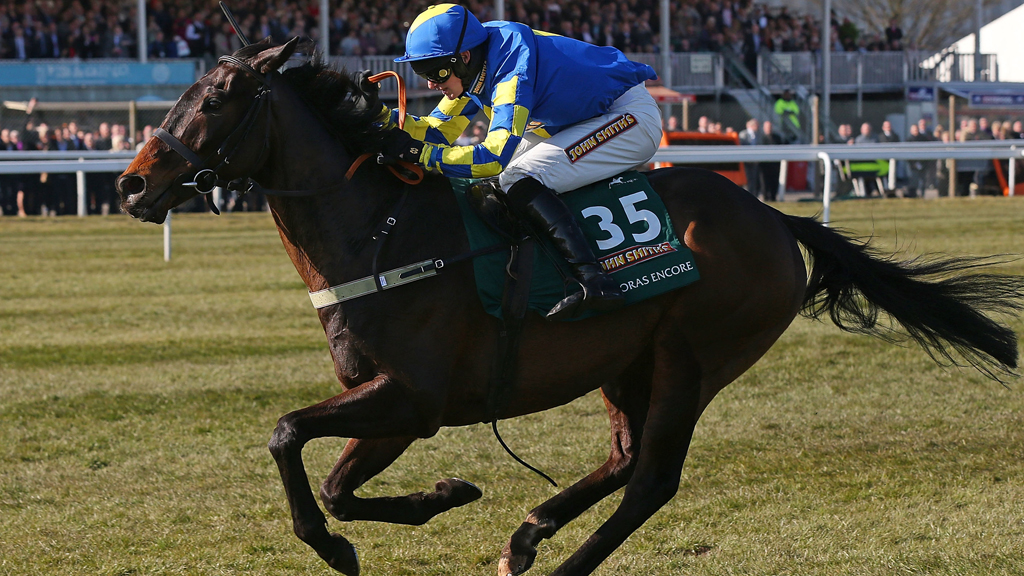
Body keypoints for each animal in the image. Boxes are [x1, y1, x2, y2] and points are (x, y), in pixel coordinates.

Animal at [116, 38, 1019, 569]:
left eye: (218, 98)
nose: (131, 184)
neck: (382, 231)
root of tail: (771, 216)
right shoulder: (391, 402)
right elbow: (331, 480)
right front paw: (447, 496)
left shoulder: (414, 397)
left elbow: (286, 436)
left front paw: (341, 544)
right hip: (629, 360)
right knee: (623, 460)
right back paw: (528, 532)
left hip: (695, 358)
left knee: (652, 480)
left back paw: (562, 555)